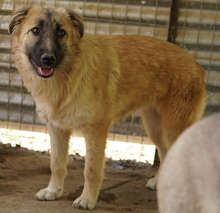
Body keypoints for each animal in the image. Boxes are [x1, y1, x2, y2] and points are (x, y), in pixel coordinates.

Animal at [7, 5, 205, 210]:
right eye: (36, 30)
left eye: (61, 33)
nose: (48, 59)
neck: (68, 76)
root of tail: (195, 63)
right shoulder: (57, 129)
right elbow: (56, 164)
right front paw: (53, 191)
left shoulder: (96, 131)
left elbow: (91, 169)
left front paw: (87, 199)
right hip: (156, 127)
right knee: (167, 152)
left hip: (175, 125)